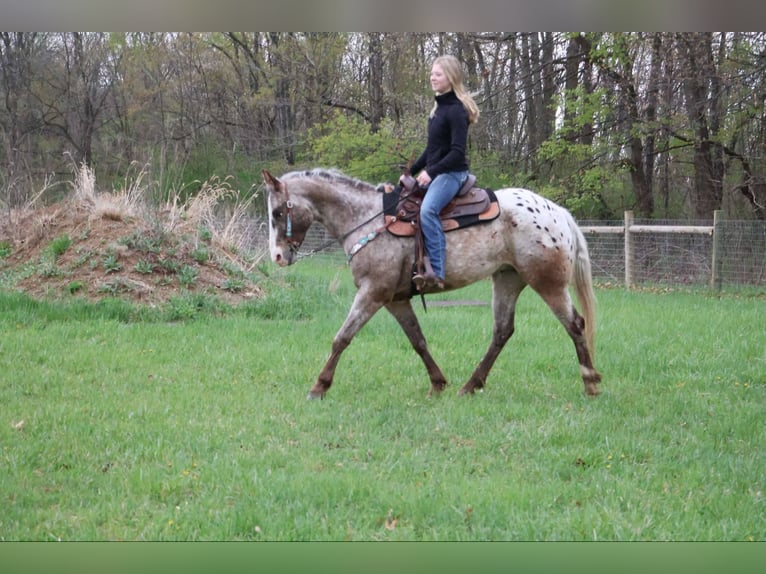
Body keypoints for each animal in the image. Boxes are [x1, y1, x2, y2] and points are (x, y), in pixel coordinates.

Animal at [261, 167, 602, 400]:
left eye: (277, 212)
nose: (277, 256)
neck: (368, 219)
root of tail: (558, 213)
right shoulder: (395, 299)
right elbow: (418, 340)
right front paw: (438, 383)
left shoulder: (373, 292)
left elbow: (342, 338)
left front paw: (319, 386)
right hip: (507, 279)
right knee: (502, 331)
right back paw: (471, 385)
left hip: (548, 283)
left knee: (575, 324)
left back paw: (590, 382)